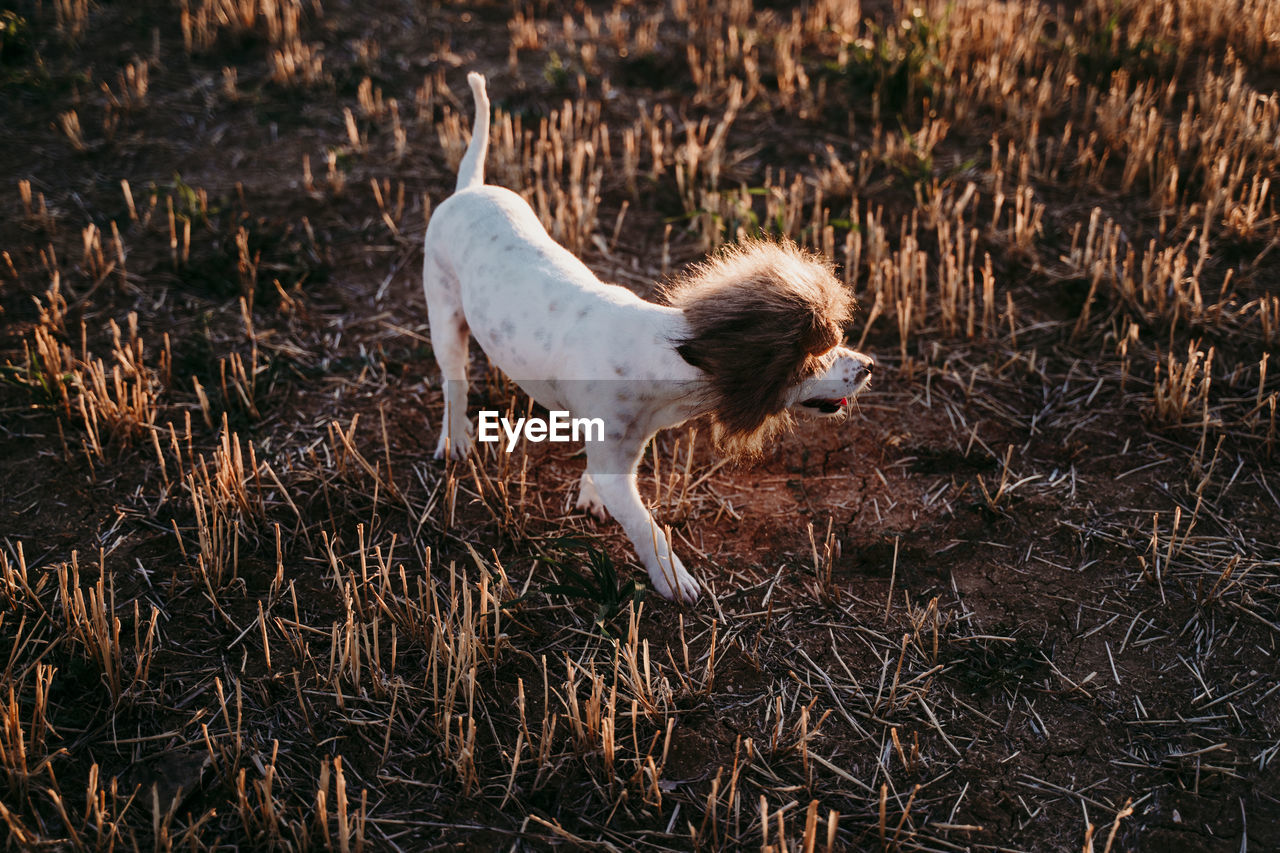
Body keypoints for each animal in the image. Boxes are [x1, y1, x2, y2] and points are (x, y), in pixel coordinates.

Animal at [424, 73, 875, 601]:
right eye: (812, 358)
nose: (869, 366)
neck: (662, 355)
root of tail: (468, 188)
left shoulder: (623, 448)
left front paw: (590, 496)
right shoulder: (620, 462)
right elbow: (649, 528)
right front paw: (674, 578)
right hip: (444, 318)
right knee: (454, 384)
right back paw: (455, 440)